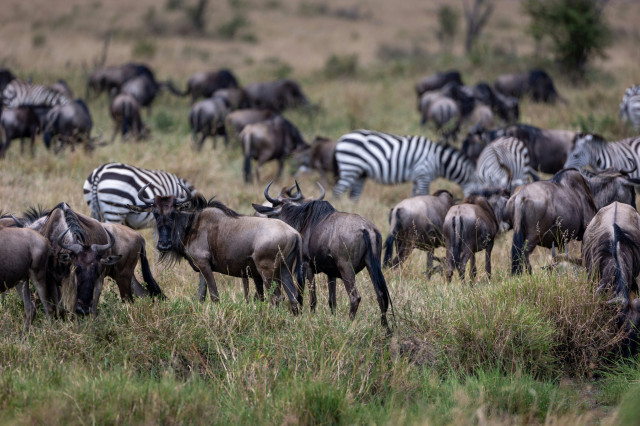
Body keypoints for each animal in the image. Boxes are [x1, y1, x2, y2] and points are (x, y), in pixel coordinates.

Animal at [333, 129, 476, 200]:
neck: (438, 160)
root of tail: (342, 138)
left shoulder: (417, 178)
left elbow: (414, 196)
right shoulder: (423, 175)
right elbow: (424, 194)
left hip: (360, 173)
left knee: (354, 196)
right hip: (350, 167)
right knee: (337, 191)